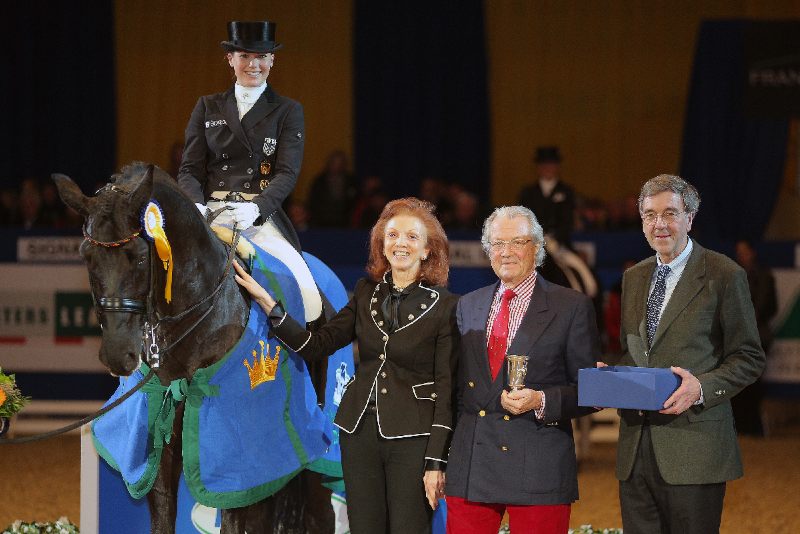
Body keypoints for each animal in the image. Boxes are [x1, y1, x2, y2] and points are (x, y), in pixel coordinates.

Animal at [54, 163, 332, 534]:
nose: (117, 354)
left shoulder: (235, 455)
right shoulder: (158, 437)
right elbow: (163, 513)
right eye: (86, 256)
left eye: (139, 258)